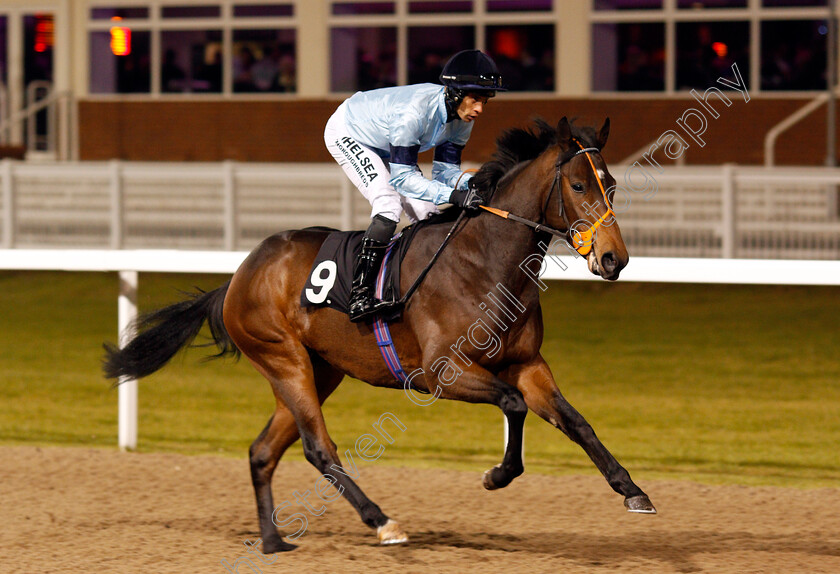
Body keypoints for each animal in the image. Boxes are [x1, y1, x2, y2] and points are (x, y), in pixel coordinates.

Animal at [105, 117, 656, 552]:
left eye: (610, 184)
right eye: (579, 186)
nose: (614, 258)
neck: (485, 262)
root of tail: (239, 276)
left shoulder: (526, 364)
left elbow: (576, 421)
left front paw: (632, 489)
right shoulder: (441, 371)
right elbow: (513, 405)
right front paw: (495, 475)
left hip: (318, 370)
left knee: (263, 451)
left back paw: (272, 541)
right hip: (284, 359)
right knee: (317, 447)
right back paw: (381, 521)